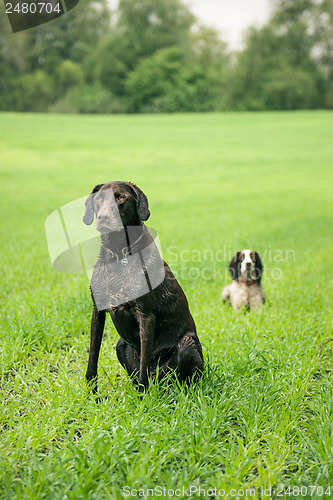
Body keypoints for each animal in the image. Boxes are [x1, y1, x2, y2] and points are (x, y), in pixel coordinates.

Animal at [82, 182, 204, 392]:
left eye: (121, 197)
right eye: (98, 199)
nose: (103, 217)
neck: (119, 253)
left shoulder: (146, 315)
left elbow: (143, 367)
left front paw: (142, 397)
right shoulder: (97, 310)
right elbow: (92, 358)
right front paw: (91, 395)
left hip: (187, 345)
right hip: (120, 344)